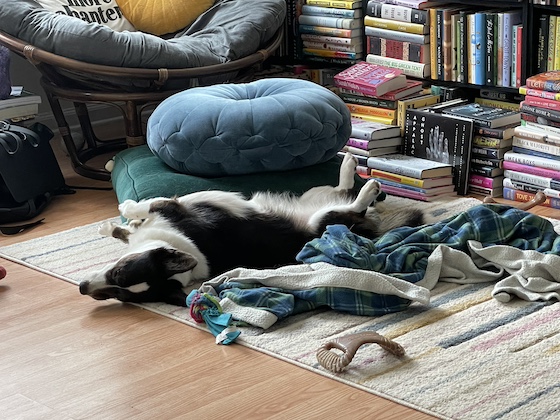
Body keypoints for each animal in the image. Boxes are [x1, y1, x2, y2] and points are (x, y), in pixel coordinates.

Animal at [80, 153, 424, 306]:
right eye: (118, 293)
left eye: (120, 273)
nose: (83, 288)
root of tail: (369, 231)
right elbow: (132, 224)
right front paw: (120, 224)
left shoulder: (174, 207)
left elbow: (143, 210)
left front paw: (124, 214)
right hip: (317, 206)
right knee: (346, 197)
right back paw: (356, 172)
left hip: (318, 210)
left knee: (350, 200)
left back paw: (362, 177)